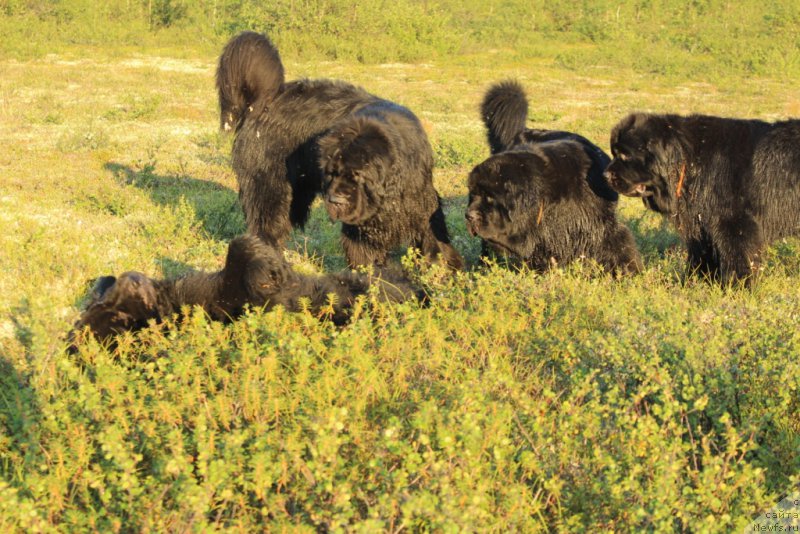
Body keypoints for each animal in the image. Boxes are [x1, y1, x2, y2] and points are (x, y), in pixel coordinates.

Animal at [216, 31, 462, 270]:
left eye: (360, 175)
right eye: (331, 172)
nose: (336, 201)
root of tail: (263, 101)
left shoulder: (421, 201)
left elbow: (434, 237)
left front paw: (446, 269)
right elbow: (365, 253)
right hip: (269, 184)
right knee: (266, 222)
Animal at [462, 82, 644, 276]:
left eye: (490, 198)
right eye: (473, 195)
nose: (469, 215)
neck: (546, 196)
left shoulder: (600, 223)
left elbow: (619, 245)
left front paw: (630, 272)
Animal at [608, 113, 800, 286]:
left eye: (625, 155)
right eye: (614, 153)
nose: (606, 174)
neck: (690, 162)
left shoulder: (734, 222)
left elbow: (739, 256)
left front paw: (737, 286)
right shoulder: (700, 223)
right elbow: (701, 256)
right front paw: (694, 283)